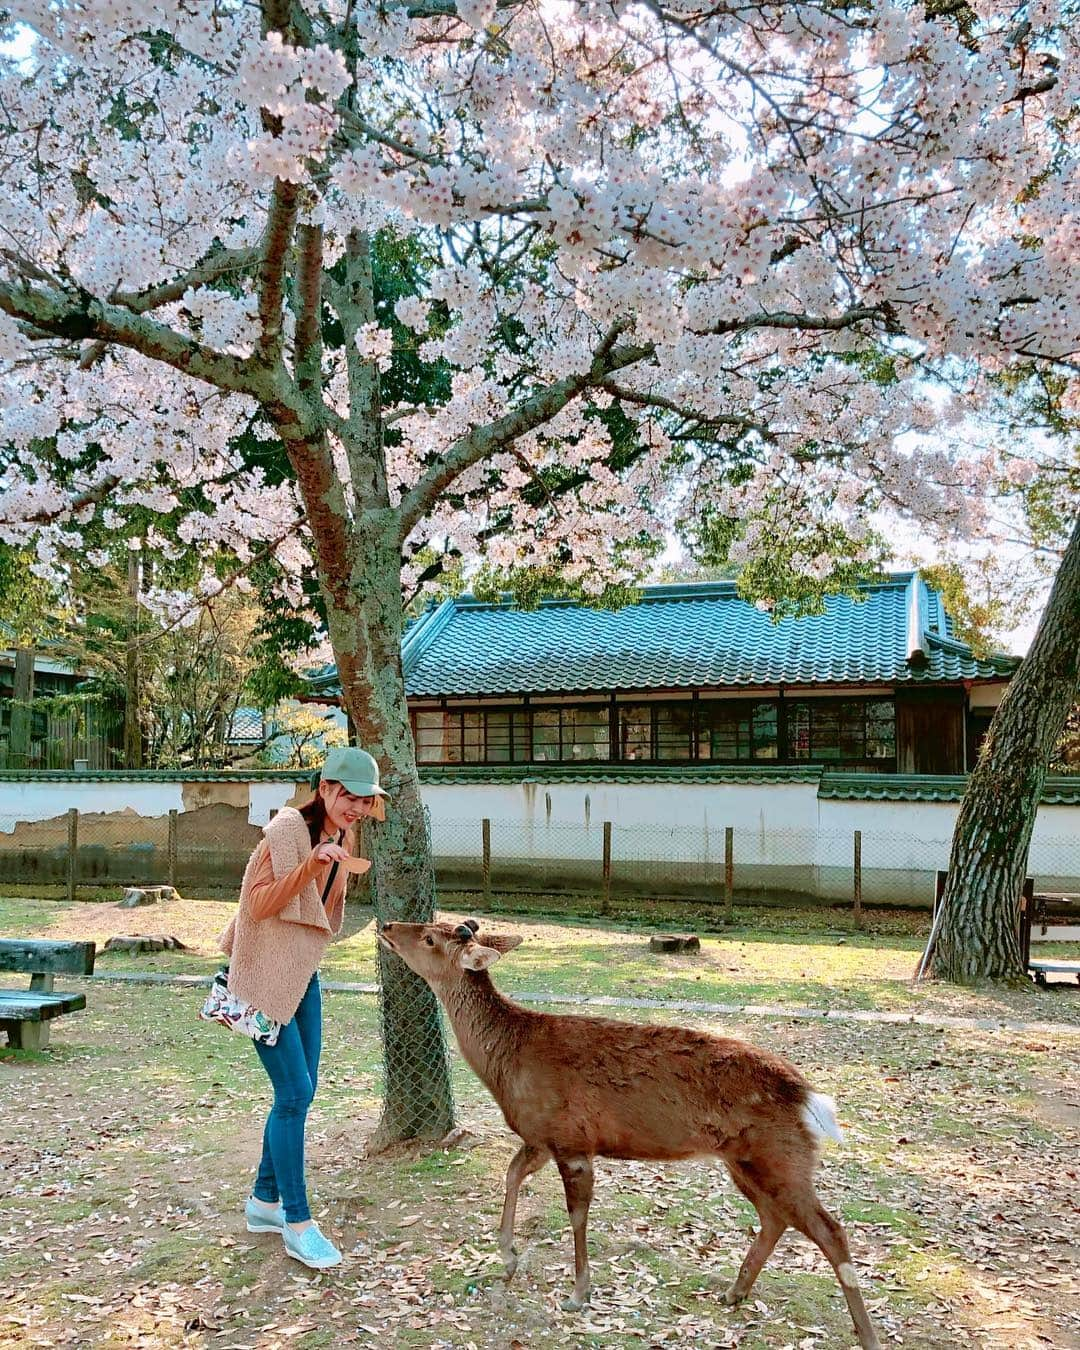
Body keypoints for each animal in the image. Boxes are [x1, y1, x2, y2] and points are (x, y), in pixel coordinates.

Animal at [380, 918, 885, 1350]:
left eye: (429, 937)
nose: (386, 926)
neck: (507, 1066)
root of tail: (809, 1098)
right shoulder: (542, 1137)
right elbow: (511, 1173)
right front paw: (508, 1256)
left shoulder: (571, 1138)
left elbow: (576, 1214)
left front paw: (578, 1294)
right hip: (744, 1159)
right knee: (775, 1217)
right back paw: (734, 1292)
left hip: (778, 1153)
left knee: (830, 1229)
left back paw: (866, 1334)